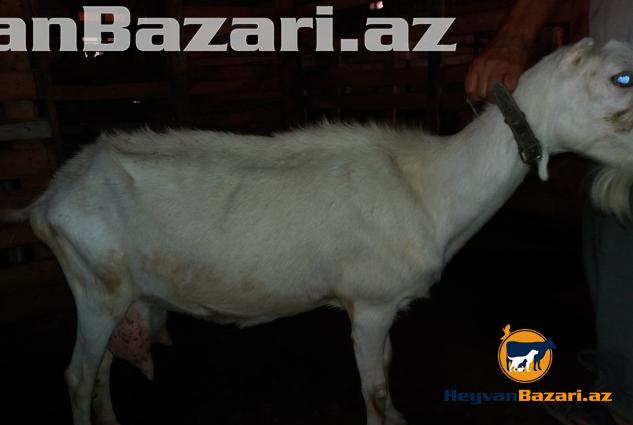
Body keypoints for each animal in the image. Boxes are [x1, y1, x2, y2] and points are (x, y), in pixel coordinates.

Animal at [2, 38, 633, 425]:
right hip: (95, 285)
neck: (431, 189)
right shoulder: (371, 302)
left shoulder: (382, 308)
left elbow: (388, 371)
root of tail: (49, 197)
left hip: (120, 294)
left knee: (104, 365)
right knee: (77, 375)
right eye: (621, 78)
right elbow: (373, 387)